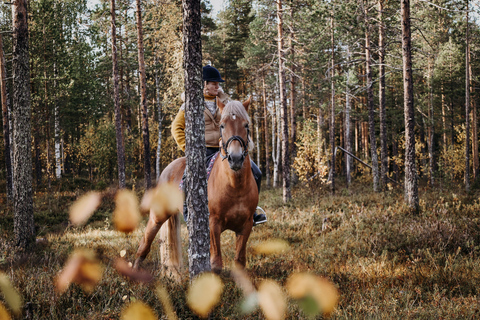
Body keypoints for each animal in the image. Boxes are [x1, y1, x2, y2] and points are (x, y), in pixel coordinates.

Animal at [135, 97, 258, 276]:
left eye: (246, 125)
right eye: (222, 125)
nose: (235, 158)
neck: (235, 187)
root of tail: (167, 169)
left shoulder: (246, 225)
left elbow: (240, 261)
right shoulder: (213, 224)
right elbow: (216, 264)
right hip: (157, 216)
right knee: (146, 240)